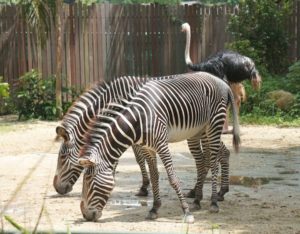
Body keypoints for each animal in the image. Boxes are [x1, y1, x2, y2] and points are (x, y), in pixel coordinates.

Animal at [78, 72, 240, 223]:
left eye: (89, 180)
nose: (85, 215)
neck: (138, 120)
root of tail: (221, 81)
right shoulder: (148, 148)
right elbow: (154, 175)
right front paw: (154, 208)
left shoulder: (162, 144)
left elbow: (173, 178)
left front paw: (186, 212)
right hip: (198, 131)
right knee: (202, 162)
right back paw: (197, 200)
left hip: (214, 126)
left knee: (213, 162)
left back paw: (213, 202)